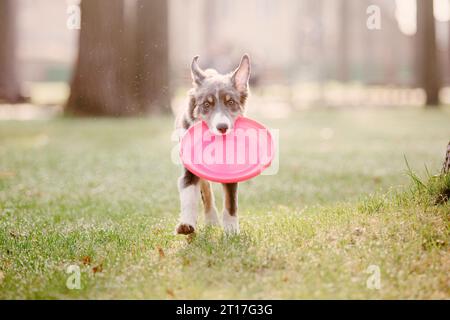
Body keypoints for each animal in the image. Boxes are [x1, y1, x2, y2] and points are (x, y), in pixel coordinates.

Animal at [175, 54, 251, 235]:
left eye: (230, 102)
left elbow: (231, 202)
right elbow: (189, 193)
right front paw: (186, 223)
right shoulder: (190, 169)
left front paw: (231, 230)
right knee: (206, 191)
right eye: (206, 104)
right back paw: (211, 219)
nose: (222, 127)